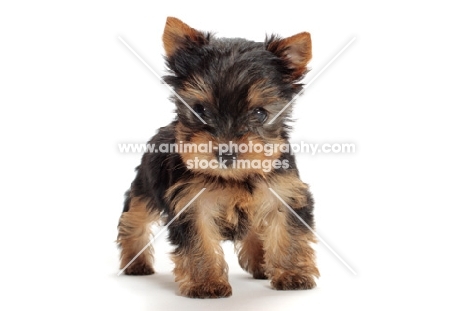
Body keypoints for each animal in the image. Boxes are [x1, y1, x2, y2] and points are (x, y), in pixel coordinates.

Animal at [119, 17, 320, 300]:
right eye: (200, 110)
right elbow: (199, 240)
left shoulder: (285, 192)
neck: (235, 177)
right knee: (134, 220)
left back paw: (260, 264)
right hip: (145, 186)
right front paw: (206, 283)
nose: (226, 152)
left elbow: (288, 231)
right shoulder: (191, 203)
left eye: (260, 113)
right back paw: (134, 261)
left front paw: (292, 274)